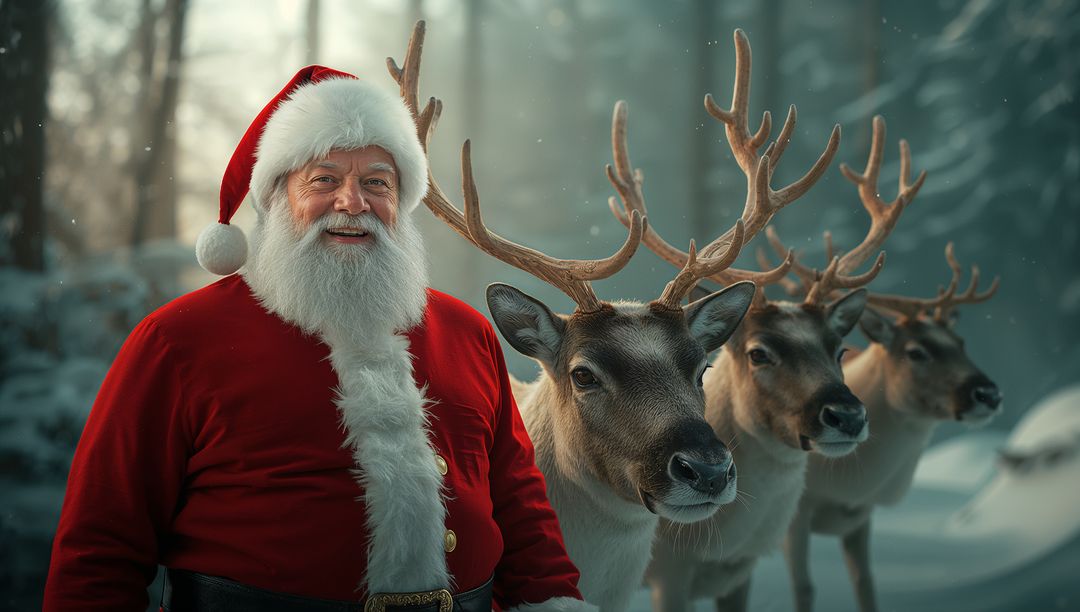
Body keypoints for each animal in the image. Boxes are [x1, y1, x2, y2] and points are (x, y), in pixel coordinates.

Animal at [604, 29, 877, 612]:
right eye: (759, 352)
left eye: (840, 348)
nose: (846, 416)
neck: (718, 543)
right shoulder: (669, 573)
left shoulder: (738, 572)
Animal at [778, 116, 1003, 612]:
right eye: (916, 351)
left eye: (961, 341)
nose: (989, 393)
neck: (843, 484)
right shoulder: (792, 518)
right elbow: (803, 589)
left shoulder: (860, 519)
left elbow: (867, 584)